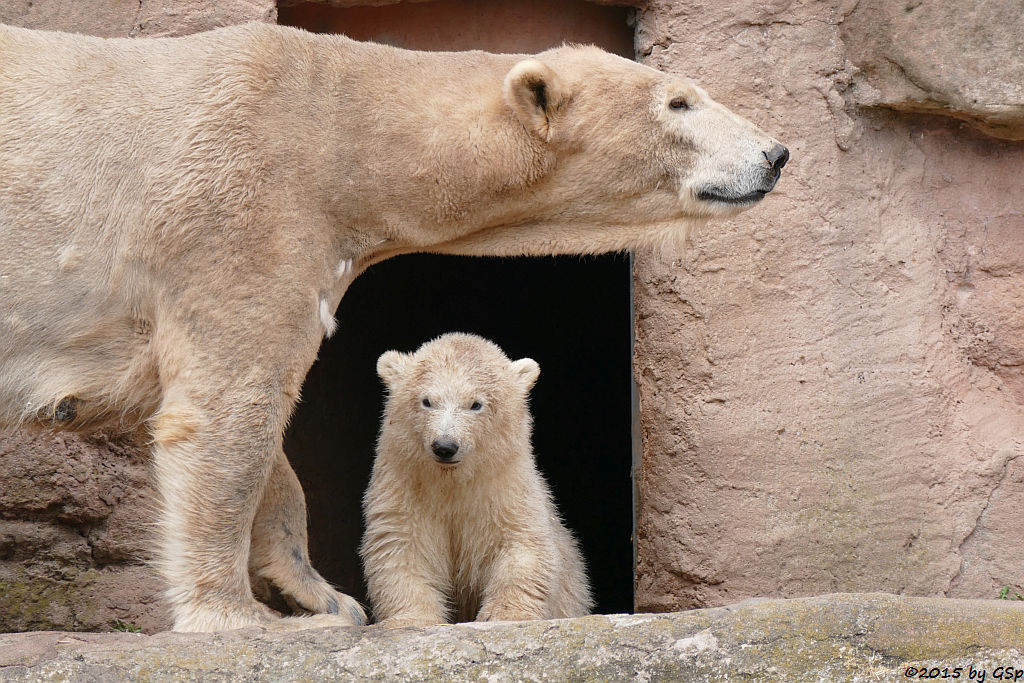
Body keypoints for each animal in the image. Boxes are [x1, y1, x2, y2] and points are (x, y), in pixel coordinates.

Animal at [366, 333, 593, 626]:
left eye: (475, 404)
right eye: (427, 401)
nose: (445, 446)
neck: (453, 480)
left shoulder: (508, 489)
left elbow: (522, 546)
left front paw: (506, 614)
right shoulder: (403, 488)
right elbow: (402, 548)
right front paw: (413, 619)